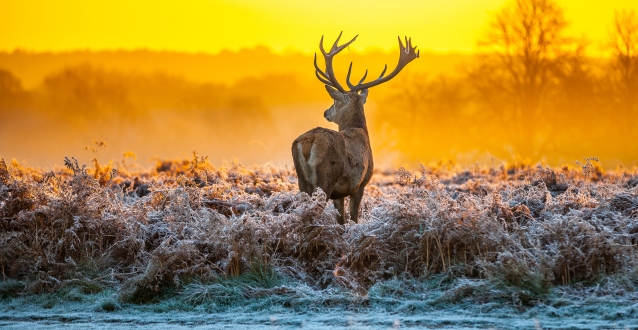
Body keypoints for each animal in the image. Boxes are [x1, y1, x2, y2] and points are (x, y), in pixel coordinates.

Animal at [290, 32, 420, 224]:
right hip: (325, 179)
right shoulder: (360, 184)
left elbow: (342, 220)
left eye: (335, 101)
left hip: (302, 181)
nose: (326, 112)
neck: (360, 131)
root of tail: (308, 142)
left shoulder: (339, 193)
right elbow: (354, 218)